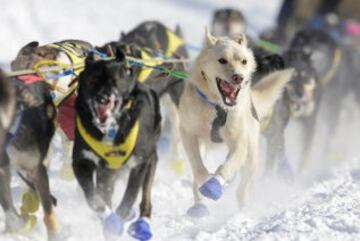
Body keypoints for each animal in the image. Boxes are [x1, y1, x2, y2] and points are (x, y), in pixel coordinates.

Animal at [72, 49, 161, 241]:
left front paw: (118, 219)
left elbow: (129, 196)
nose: (101, 98)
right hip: (107, 172)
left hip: (150, 161)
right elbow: (94, 198)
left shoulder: (139, 163)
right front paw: (108, 219)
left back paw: (142, 223)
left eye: (114, 80)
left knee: (145, 197)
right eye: (92, 80)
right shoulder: (82, 162)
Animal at [179, 28, 294, 217]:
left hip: (252, 157)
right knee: (198, 174)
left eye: (244, 61)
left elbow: (227, 166)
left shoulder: (240, 143)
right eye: (222, 60)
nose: (238, 77)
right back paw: (199, 205)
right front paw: (206, 182)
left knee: (242, 188)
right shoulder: (188, 135)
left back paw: (242, 209)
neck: (217, 106)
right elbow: (199, 169)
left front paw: (215, 183)